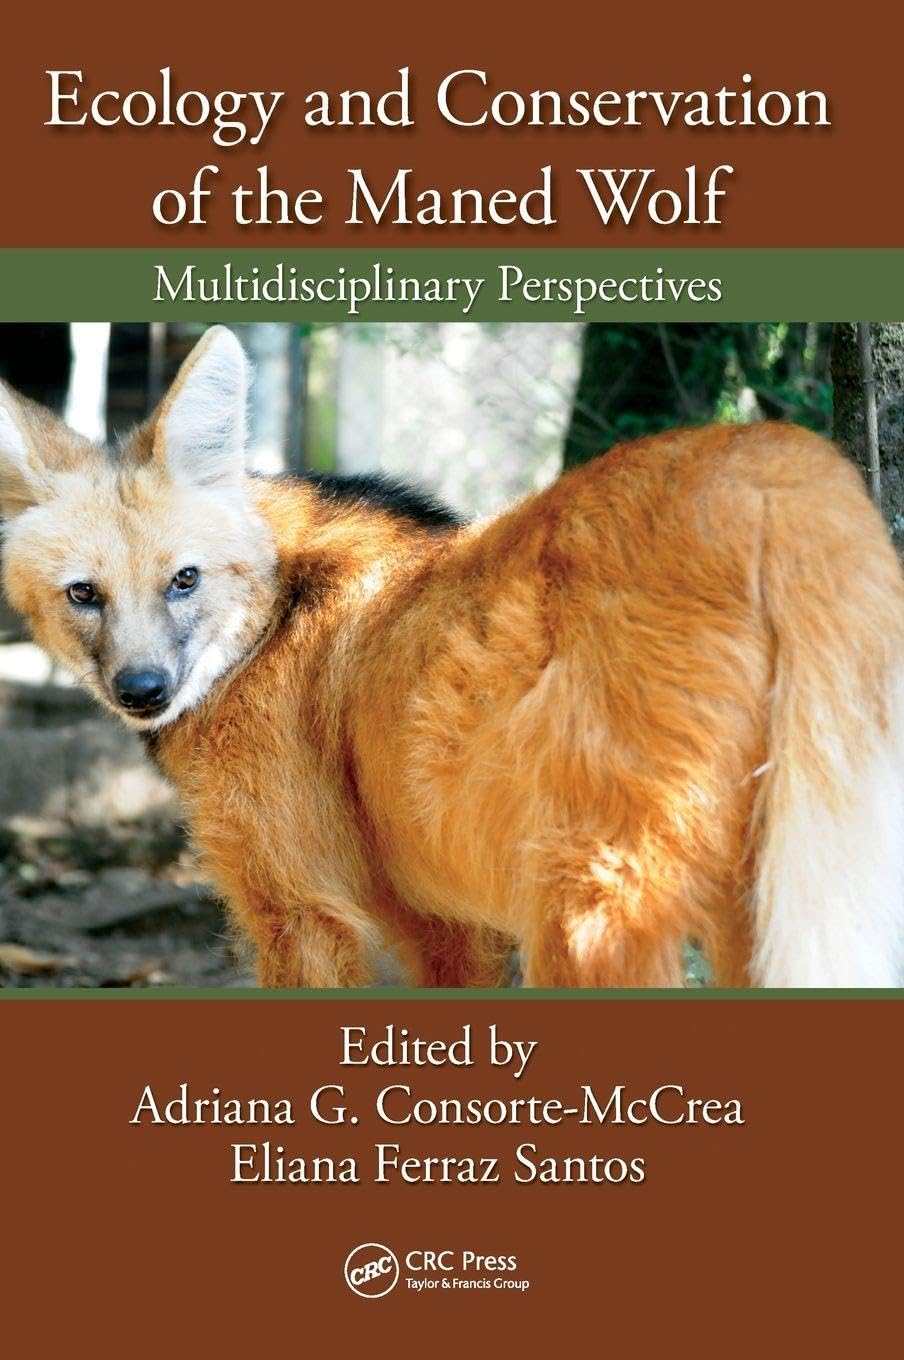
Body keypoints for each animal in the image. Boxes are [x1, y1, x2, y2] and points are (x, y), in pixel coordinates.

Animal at [1, 326, 903, 988]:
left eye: (183, 580)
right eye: (85, 594)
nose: (143, 689)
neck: (270, 616)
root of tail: (774, 468)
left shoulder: (301, 907)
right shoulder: (442, 922)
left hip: (588, 906)